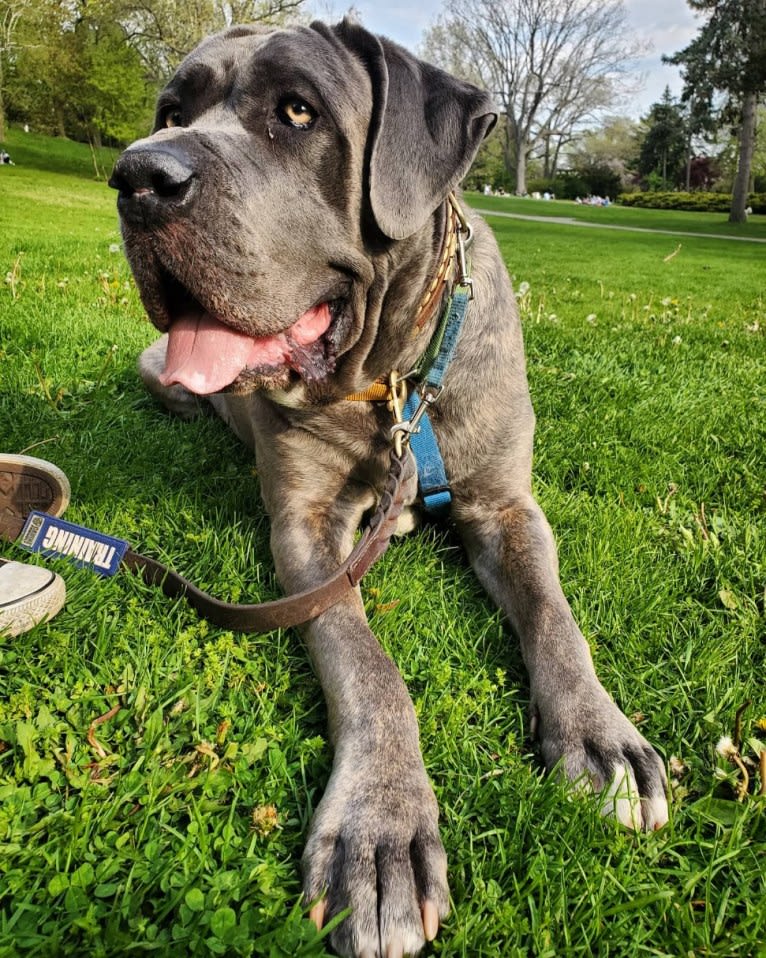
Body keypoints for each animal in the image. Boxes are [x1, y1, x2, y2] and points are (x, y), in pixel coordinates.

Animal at [109, 18, 672, 956]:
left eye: (298, 112)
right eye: (170, 111)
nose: (138, 176)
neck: (396, 378)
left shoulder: (507, 507)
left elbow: (556, 617)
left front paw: (602, 738)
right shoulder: (304, 527)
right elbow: (367, 666)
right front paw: (380, 833)